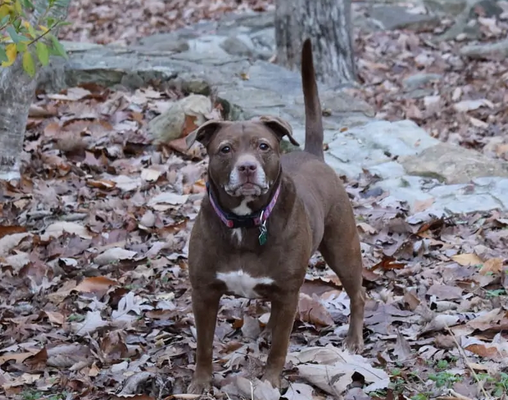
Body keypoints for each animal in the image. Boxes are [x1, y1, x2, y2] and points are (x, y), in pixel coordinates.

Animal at [187, 38, 366, 394]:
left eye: (263, 146)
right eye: (225, 148)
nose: (247, 167)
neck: (244, 222)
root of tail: (313, 155)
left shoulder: (287, 293)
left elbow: (281, 349)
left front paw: (269, 381)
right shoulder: (204, 292)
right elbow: (204, 345)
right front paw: (200, 382)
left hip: (342, 249)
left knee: (358, 294)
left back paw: (353, 340)